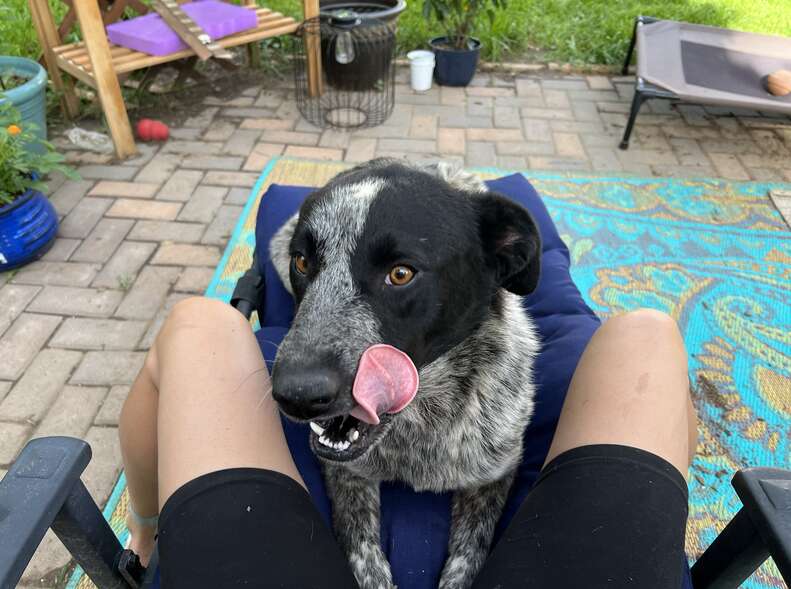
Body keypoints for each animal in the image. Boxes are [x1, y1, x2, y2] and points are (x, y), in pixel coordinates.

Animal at [270, 158, 540, 584]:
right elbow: (363, 552)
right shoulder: (345, 472)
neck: (419, 420)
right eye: (302, 262)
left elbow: (467, 557)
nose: (297, 395)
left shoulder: (497, 471)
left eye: (401, 273)